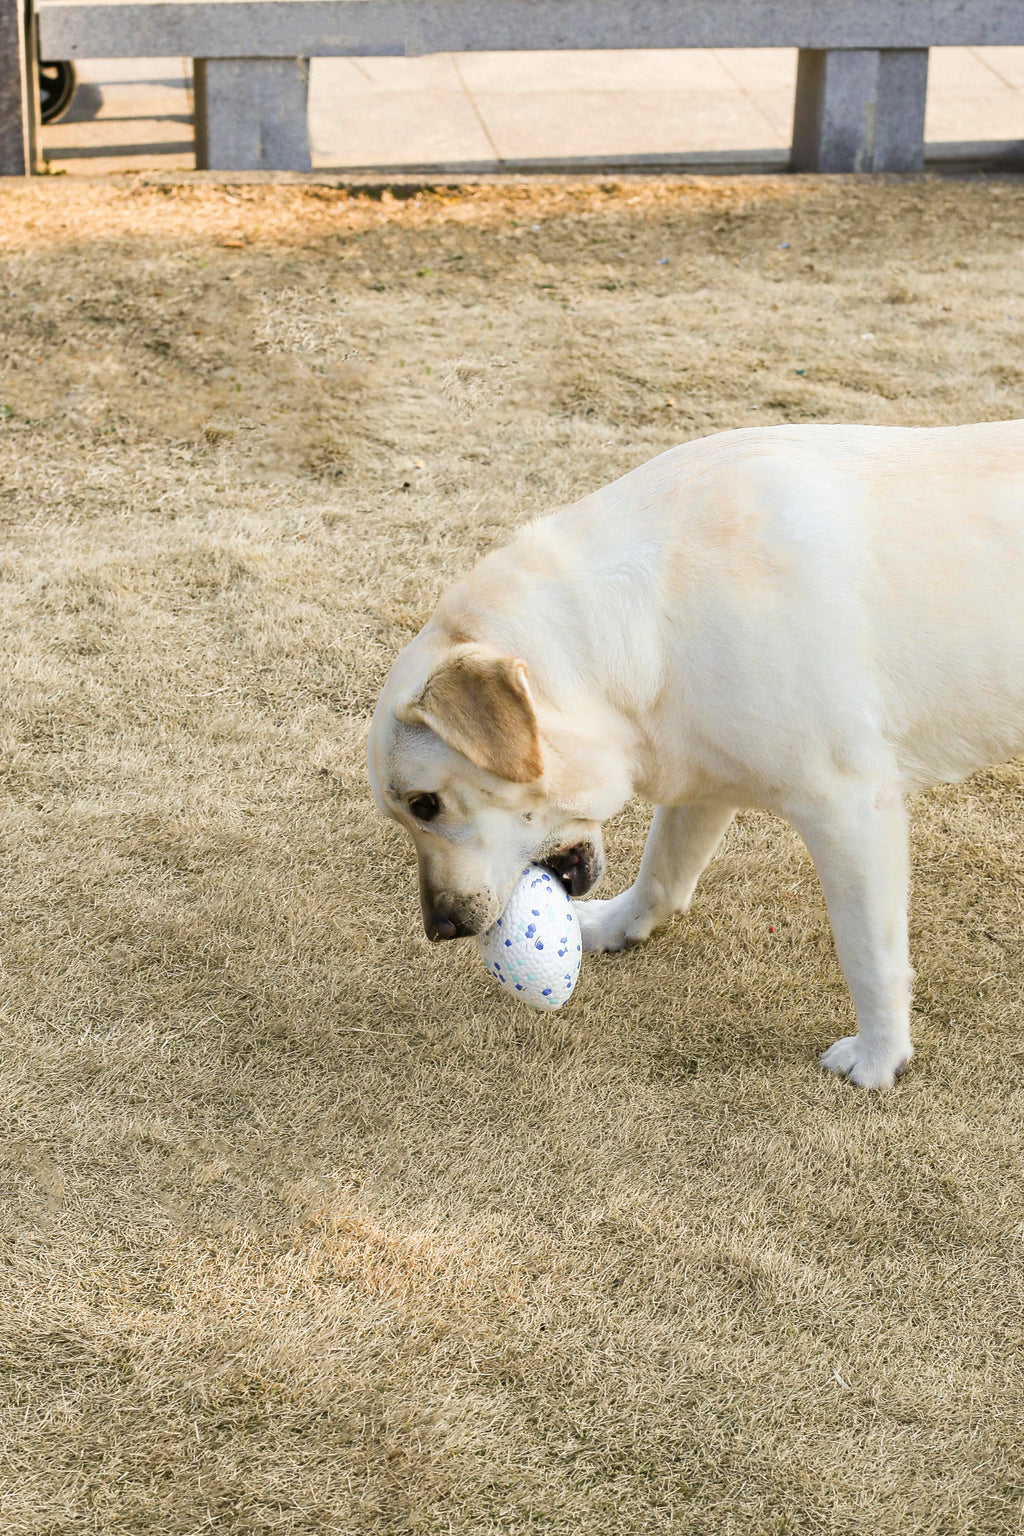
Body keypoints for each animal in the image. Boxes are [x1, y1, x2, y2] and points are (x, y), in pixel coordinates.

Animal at [368, 427, 1024, 1087]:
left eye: (425, 805)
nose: (439, 929)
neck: (646, 621)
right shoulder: (701, 779)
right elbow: (662, 871)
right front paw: (619, 926)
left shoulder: (850, 810)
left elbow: (867, 955)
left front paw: (879, 1057)